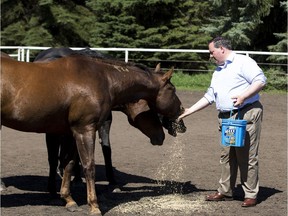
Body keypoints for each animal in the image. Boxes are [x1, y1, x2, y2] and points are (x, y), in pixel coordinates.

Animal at [0, 52, 184, 214]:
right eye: (172, 89)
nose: (181, 113)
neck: (104, 79)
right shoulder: (85, 129)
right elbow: (89, 166)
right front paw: (94, 206)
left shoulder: (72, 131)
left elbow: (69, 163)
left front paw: (68, 199)